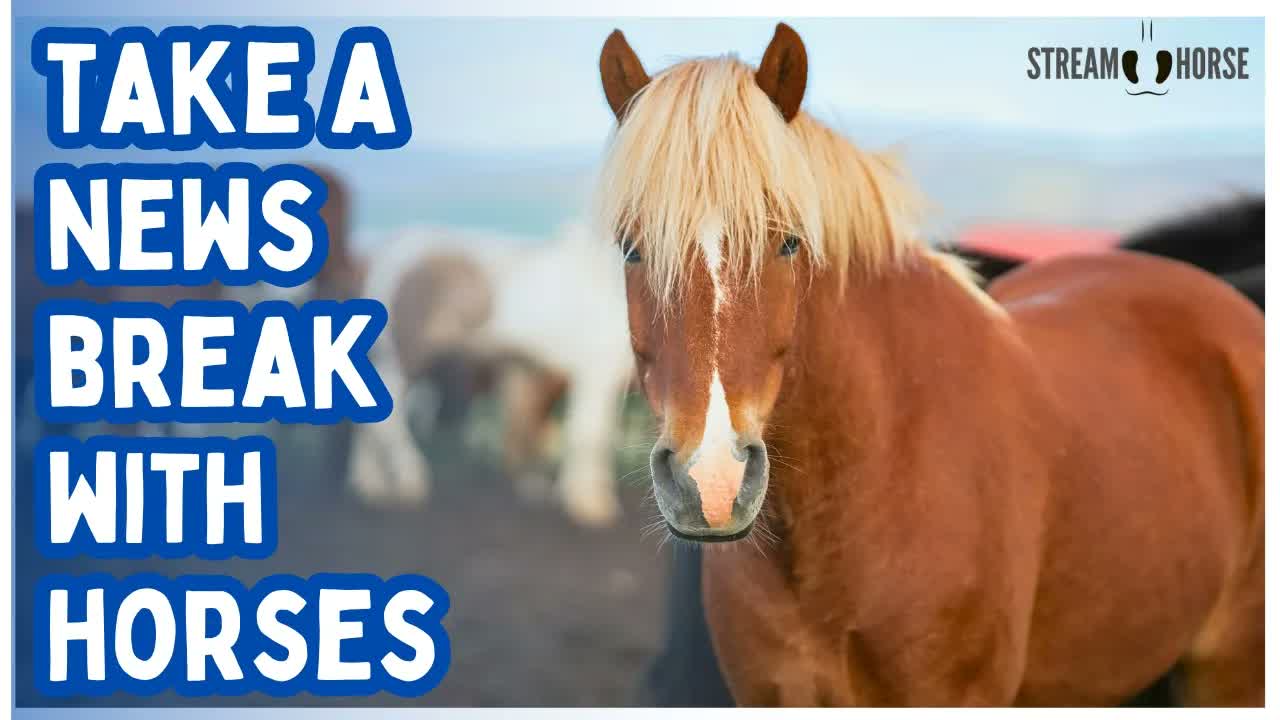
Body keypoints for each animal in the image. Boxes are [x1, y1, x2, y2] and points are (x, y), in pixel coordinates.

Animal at [347, 219, 635, 527]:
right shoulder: (596, 374)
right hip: (405, 359)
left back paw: (372, 486)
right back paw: (409, 479)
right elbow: (592, 436)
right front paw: (590, 505)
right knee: (388, 424)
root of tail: (394, 251)